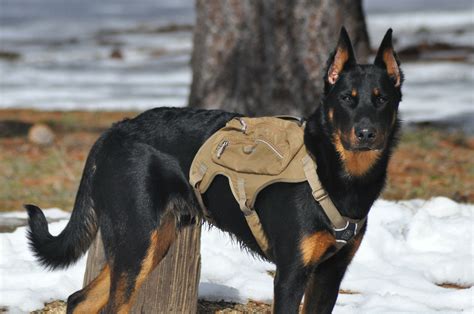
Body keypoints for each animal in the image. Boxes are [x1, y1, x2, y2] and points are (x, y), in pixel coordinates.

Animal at [25, 28, 404, 312]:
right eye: (346, 98)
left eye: (381, 98)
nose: (366, 133)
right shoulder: (290, 274)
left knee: (79, 300)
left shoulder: (329, 275)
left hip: (151, 242)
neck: (335, 173)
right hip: (136, 242)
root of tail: (113, 131)